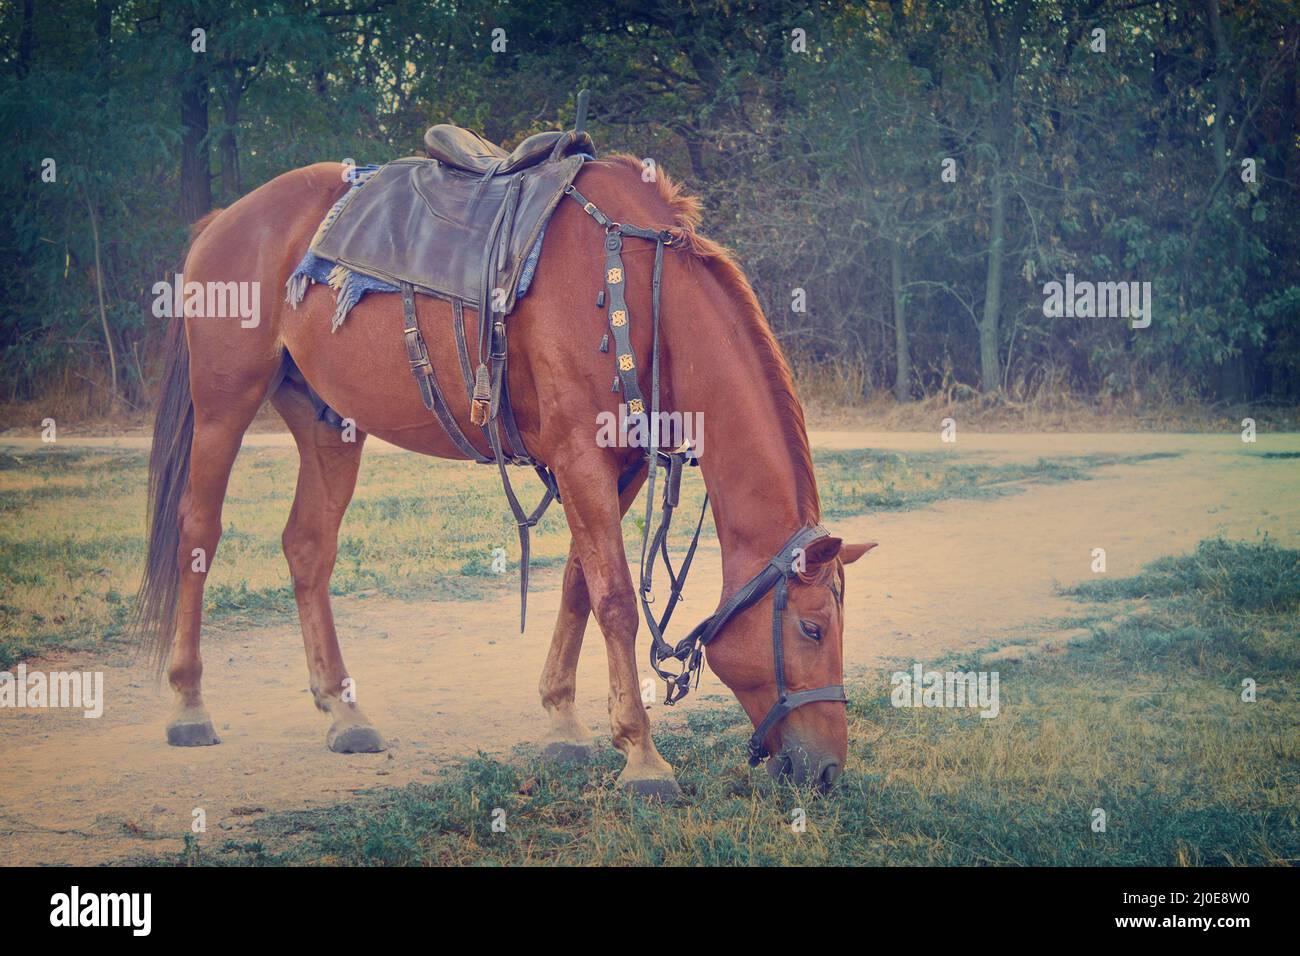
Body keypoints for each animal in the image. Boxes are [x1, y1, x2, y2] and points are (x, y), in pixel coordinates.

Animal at [133, 153, 873, 797]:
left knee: (308, 547)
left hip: (328, 422)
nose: (828, 770)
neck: (637, 285)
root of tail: (226, 219)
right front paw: (641, 757)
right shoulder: (579, 457)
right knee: (199, 532)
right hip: (223, 405)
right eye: (812, 629)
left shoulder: (619, 467)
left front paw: (564, 721)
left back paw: (342, 710)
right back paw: (189, 703)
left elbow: (578, 585)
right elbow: (614, 599)